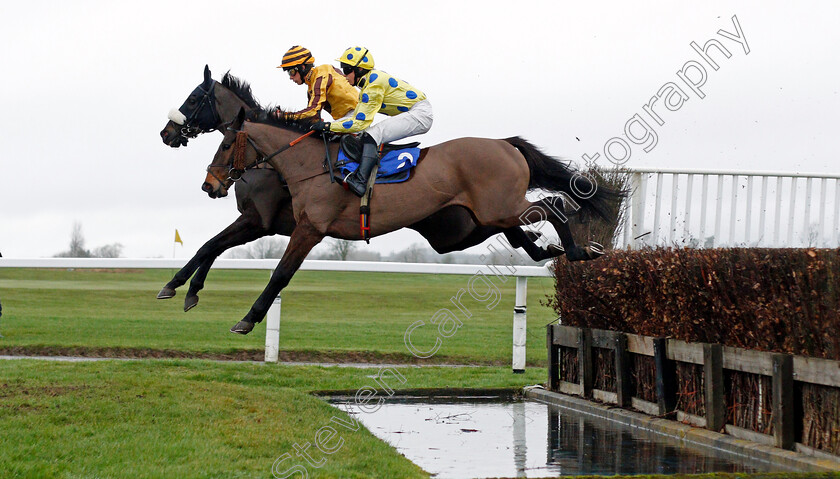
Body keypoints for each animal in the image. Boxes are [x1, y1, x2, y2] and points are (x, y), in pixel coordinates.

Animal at [206, 108, 620, 334]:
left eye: (225, 144)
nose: (209, 184)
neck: (311, 165)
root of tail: (505, 143)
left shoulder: (310, 229)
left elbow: (280, 274)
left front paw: (247, 319)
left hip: (498, 208)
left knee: (554, 204)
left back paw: (578, 251)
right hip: (485, 214)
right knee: (531, 225)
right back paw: (557, 249)